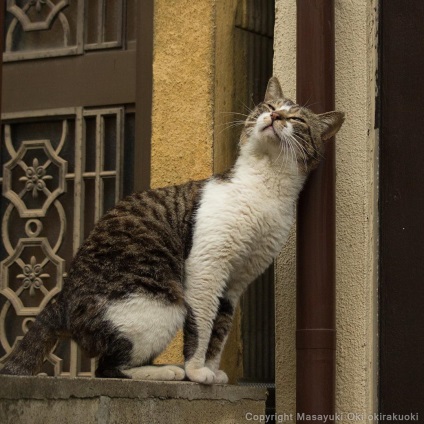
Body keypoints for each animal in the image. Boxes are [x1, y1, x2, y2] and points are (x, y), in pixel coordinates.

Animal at [0, 76, 344, 384]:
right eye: (270, 106)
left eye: (296, 118)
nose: (274, 116)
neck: (265, 188)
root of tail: (62, 301)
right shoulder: (207, 267)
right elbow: (202, 325)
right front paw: (195, 371)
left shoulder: (235, 283)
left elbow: (220, 330)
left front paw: (212, 370)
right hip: (162, 305)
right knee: (109, 368)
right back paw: (168, 371)